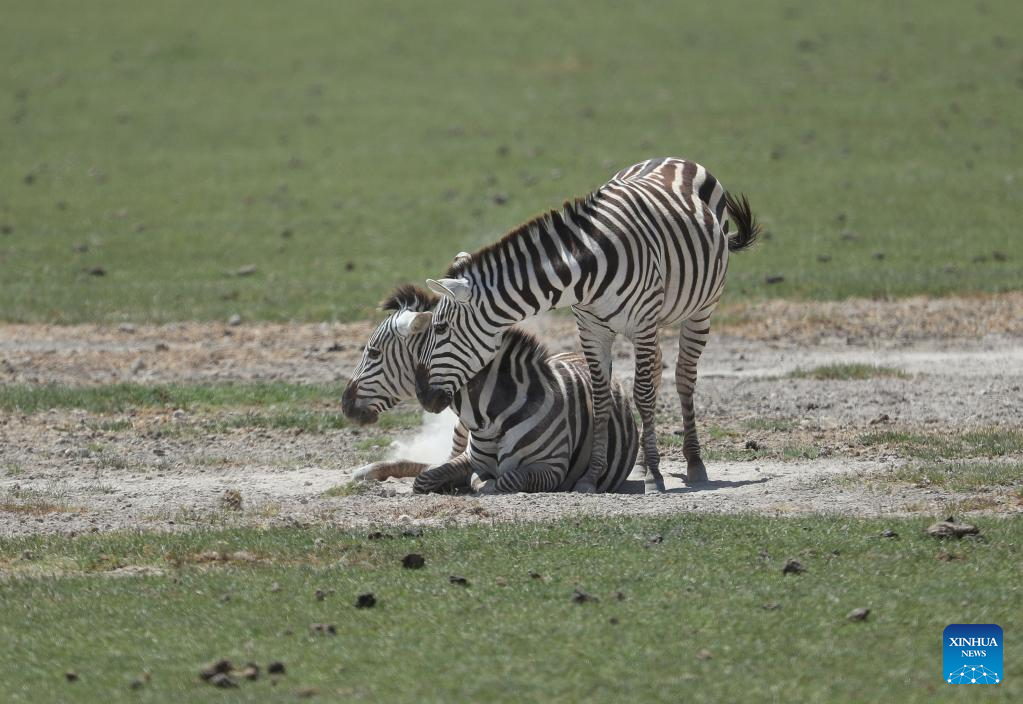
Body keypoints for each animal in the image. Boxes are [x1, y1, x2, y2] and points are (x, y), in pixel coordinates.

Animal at [339, 282, 634, 493]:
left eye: (373, 352)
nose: (344, 403)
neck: (493, 412)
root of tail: (575, 354)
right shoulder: (470, 457)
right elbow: (428, 477)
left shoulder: (553, 467)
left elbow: (505, 480)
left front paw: (477, 483)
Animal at [415, 157, 761, 493]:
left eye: (440, 328)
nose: (423, 397)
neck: (588, 267)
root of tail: (675, 159)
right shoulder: (591, 328)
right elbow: (601, 398)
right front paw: (593, 476)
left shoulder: (642, 325)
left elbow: (643, 394)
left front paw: (654, 477)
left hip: (701, 309)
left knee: (684, 378)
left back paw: (693, 462)